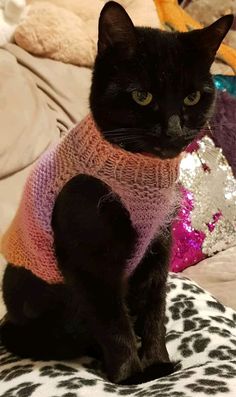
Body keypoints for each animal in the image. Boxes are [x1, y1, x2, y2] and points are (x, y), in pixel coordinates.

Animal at [0, 0, 232, 384]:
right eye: (142, 96)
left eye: (192, 97)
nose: (173, 130)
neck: (141, 173)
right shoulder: (90, 264)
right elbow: (114, 325)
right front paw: (132, 377)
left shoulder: (157, 248)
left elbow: (154, 313)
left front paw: (156, 361)